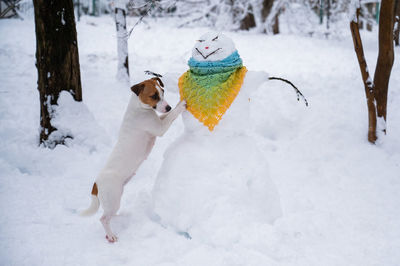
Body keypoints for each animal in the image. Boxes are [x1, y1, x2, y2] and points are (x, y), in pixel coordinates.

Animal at [81, 77, 188, 243]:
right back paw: (111, 235)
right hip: (113, 198)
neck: (138, 107)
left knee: (110, 215)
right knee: (103, 219)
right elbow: (171, 116)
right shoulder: (159, 128)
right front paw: (180, 105)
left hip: (114, 199)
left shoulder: (159, 120)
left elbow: (166, 116)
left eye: (163, 92)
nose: (168, 106)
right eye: (154, 96)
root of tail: (96, 183)